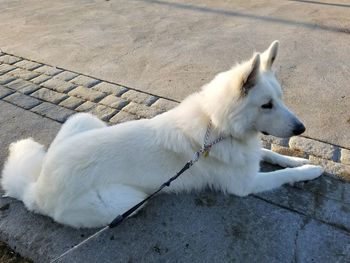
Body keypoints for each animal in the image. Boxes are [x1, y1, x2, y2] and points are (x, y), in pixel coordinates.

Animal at [0, 41, 322, 229]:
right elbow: (282, 175)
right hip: (130, 201)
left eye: (280, 99)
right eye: (266, 105)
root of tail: (37, 189)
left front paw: (299, 161)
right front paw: (310, 171)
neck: (217, 126)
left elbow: (271, 153)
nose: (301, 129)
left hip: (83, 119)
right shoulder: (244, 185)